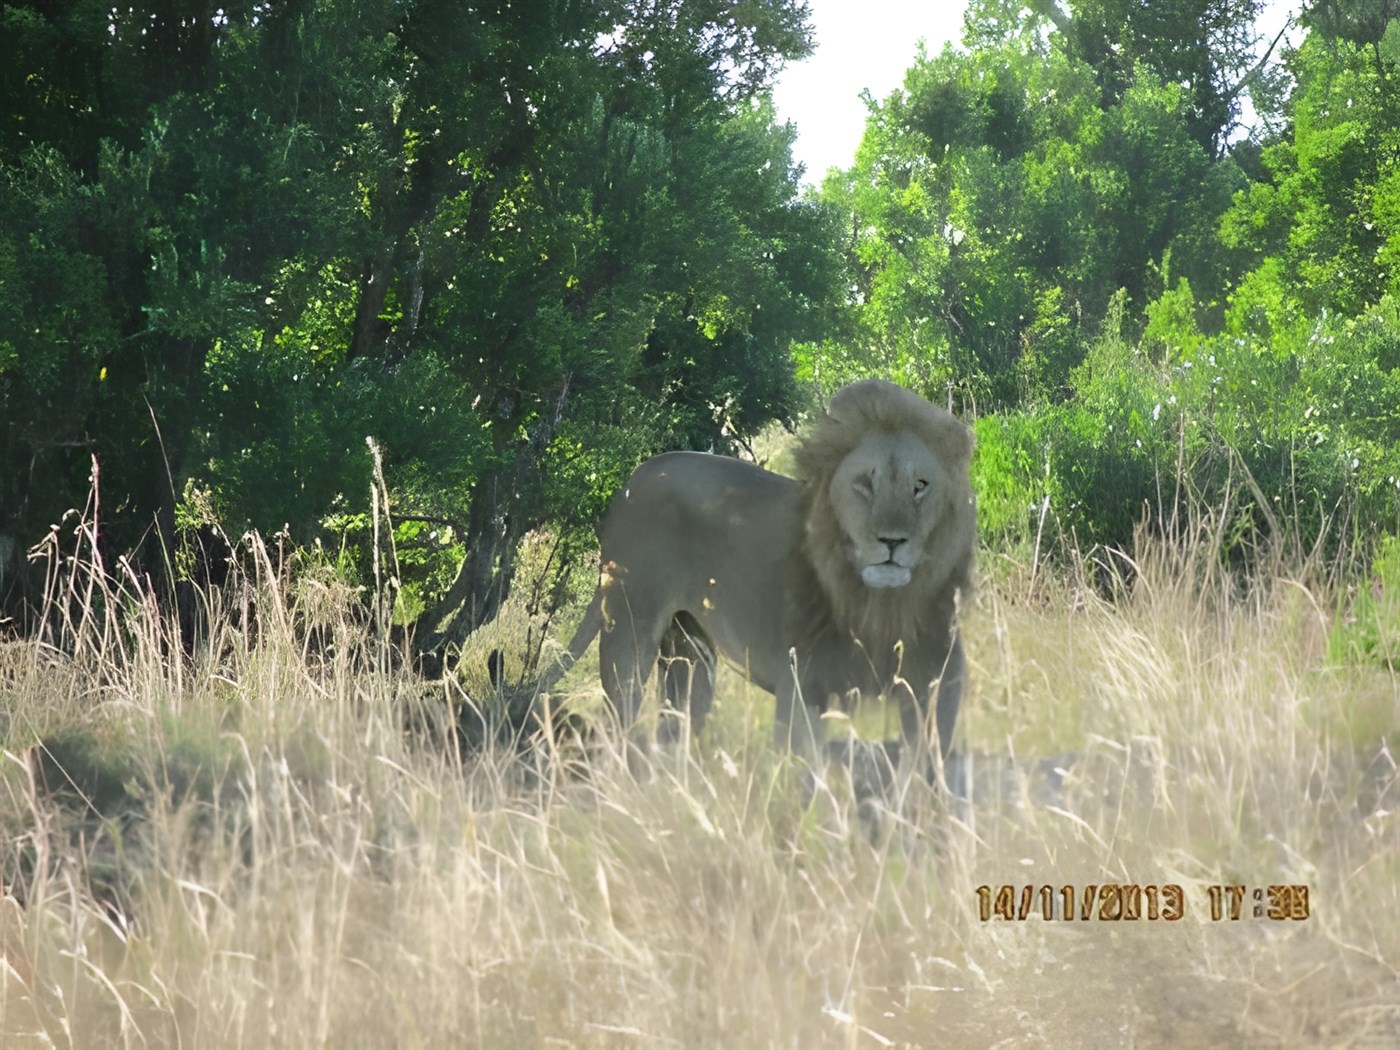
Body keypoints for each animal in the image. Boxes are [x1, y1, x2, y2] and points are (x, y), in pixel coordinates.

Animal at [547, 378, 976, 765]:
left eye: (920, 486)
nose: (892, 541)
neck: (880, 604)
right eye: (864, 485)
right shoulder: (801, 688)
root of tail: (633, 478)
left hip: (689, 652)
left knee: (674, 729)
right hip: (629, 630)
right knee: (620, 720)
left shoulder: (937, 688)